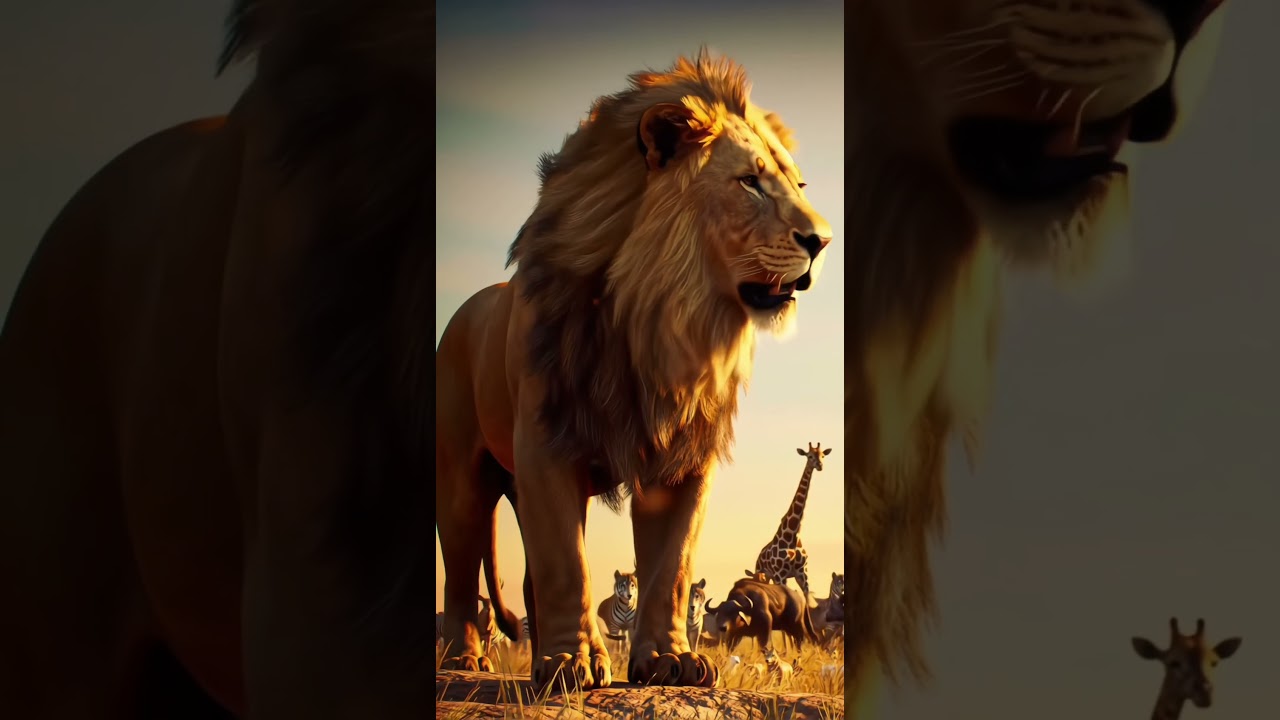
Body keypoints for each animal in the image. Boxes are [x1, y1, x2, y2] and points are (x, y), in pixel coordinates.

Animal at [434, 52, 833, 690]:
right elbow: (567, 563)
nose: (822, 241)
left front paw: (669, 661)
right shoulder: (547, 441)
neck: (661, 320)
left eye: (796, 185)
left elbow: (670, 566)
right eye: (749, 182)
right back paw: (467, 659)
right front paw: (571, 665)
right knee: (463, 567)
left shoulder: (683, 457)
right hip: (463, 476)